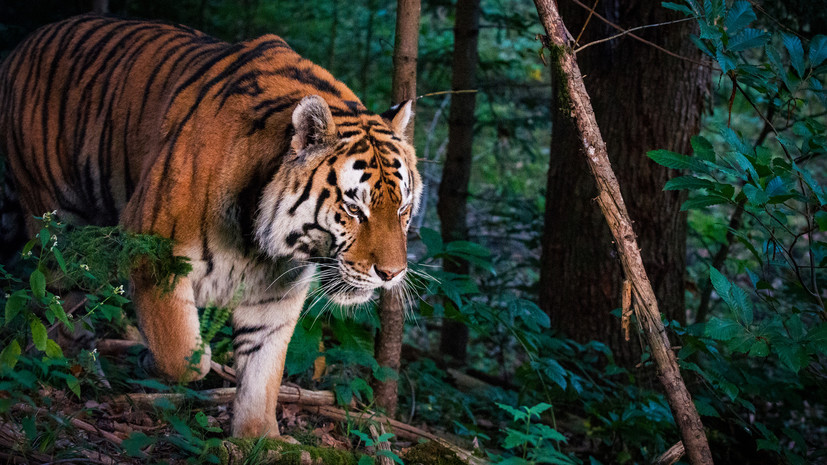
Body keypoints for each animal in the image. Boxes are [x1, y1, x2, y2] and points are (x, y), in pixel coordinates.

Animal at [0, 14, 424, 436]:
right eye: (354, 208)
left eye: (403, 208)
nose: (391, 274)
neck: (261, 242)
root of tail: (24, 44)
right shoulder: (153, 252)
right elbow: (182, 352)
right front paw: (154, 360)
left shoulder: (276, 293)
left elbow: (263, 372)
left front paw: (260, 438)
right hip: (59, 229)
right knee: (53, 303)